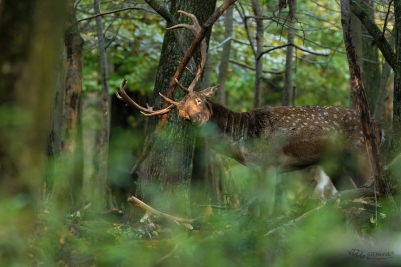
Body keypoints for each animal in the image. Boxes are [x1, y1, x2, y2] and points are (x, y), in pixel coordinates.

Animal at [116, 11, 378, 195]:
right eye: (182, 113)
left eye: (199, 99)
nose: (197, 119)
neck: (244, 143)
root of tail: (380, 127)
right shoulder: (259, 168)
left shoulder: (271, 163)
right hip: (338, 164)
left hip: (360, 154)